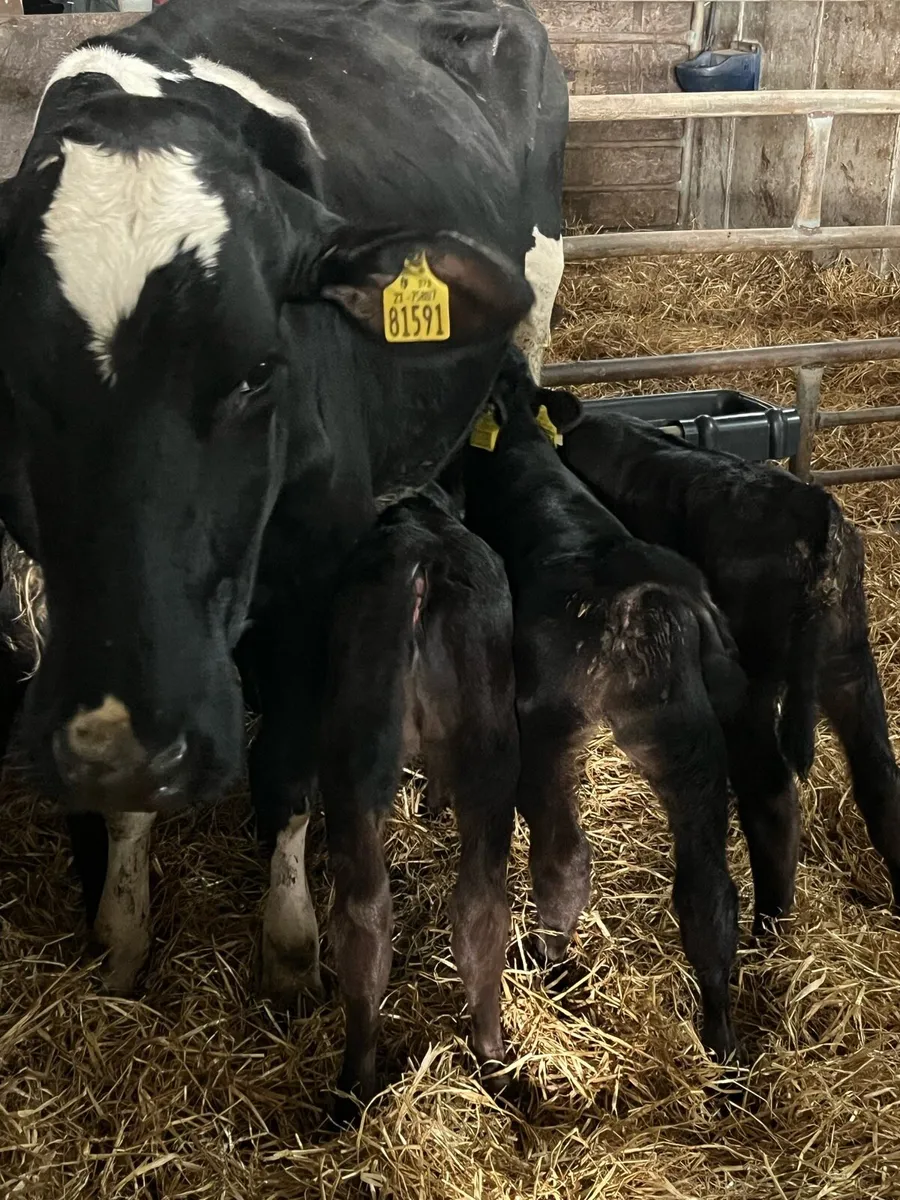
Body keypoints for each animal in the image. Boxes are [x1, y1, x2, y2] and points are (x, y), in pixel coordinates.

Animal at [0, 0, 567, 1005]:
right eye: (13, 377)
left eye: (261, 368)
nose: (123, 746)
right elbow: (130, 815)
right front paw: (123, 925)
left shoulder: (317, 580)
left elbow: (286, 769)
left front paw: (293, 937)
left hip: (536, 300)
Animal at [319, 486, 517, 1118]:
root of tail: (422, 570)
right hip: (490, 755)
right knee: (478, 906)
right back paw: (492, 1057)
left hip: (351, 764)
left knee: (362, 916)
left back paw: (354, 1086)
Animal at [459, 352, 748, 1059]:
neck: (523, 443)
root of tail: (645, 593)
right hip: (693, 743)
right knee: (709, 890)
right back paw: (722, 1044)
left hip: (546, 729)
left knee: (563, 860)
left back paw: (545, 963)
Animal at [544, 398, 900, 930]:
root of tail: (817, 517)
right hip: (849, 657)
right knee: (880, 774)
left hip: (749, 680)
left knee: (771, 792)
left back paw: (767, 926)